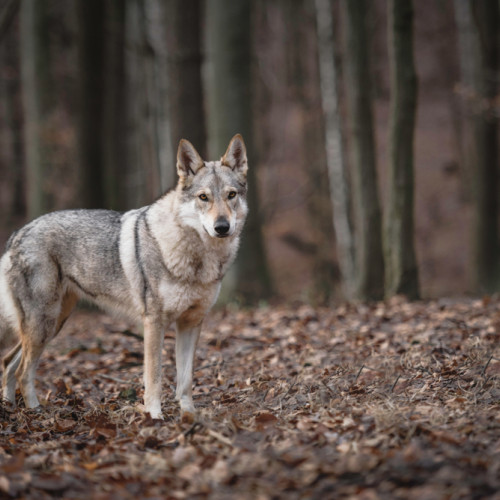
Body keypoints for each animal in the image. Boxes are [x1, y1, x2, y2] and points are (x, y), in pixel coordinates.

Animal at [0, 134, 249, 422]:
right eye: (203, 197)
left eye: (231, 195)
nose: (222, 227)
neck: (196, 257)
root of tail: (17, 234)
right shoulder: (153, 323)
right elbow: (154, 376)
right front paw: (155, 417)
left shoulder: (191, 323)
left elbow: (185, 380)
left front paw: (189, 416)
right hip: (44, 324)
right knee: (22, 371)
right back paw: (36, 412)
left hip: (52, 324)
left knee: (8, 363)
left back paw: (10, 408)